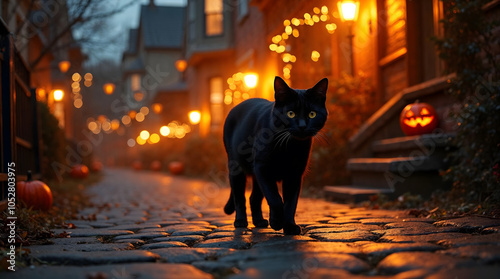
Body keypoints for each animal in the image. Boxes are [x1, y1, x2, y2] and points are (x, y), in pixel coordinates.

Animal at [224, 75, 328, 235]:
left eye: (312, 114)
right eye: (290, 113)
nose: (302, 126)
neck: (289, 147)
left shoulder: (294, 174)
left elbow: (291, 203)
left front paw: (290, 226)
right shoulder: (262, 168)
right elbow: (275, 198)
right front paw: (277, 222)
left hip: (256, 177)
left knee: (253, 198)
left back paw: (259, 221)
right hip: (237, 170)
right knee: (240, 197)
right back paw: (241, 221)